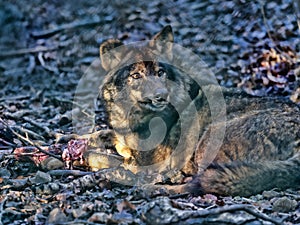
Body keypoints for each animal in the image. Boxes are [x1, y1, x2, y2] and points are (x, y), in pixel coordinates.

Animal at [96, 25, 300, 196]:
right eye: (136, 75)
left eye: (160, 72)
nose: (161, 94)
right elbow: (103, 135)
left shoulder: (143, 159)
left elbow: (110, 159)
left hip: (207, 140)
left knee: (199, 183)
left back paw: (152, 187)